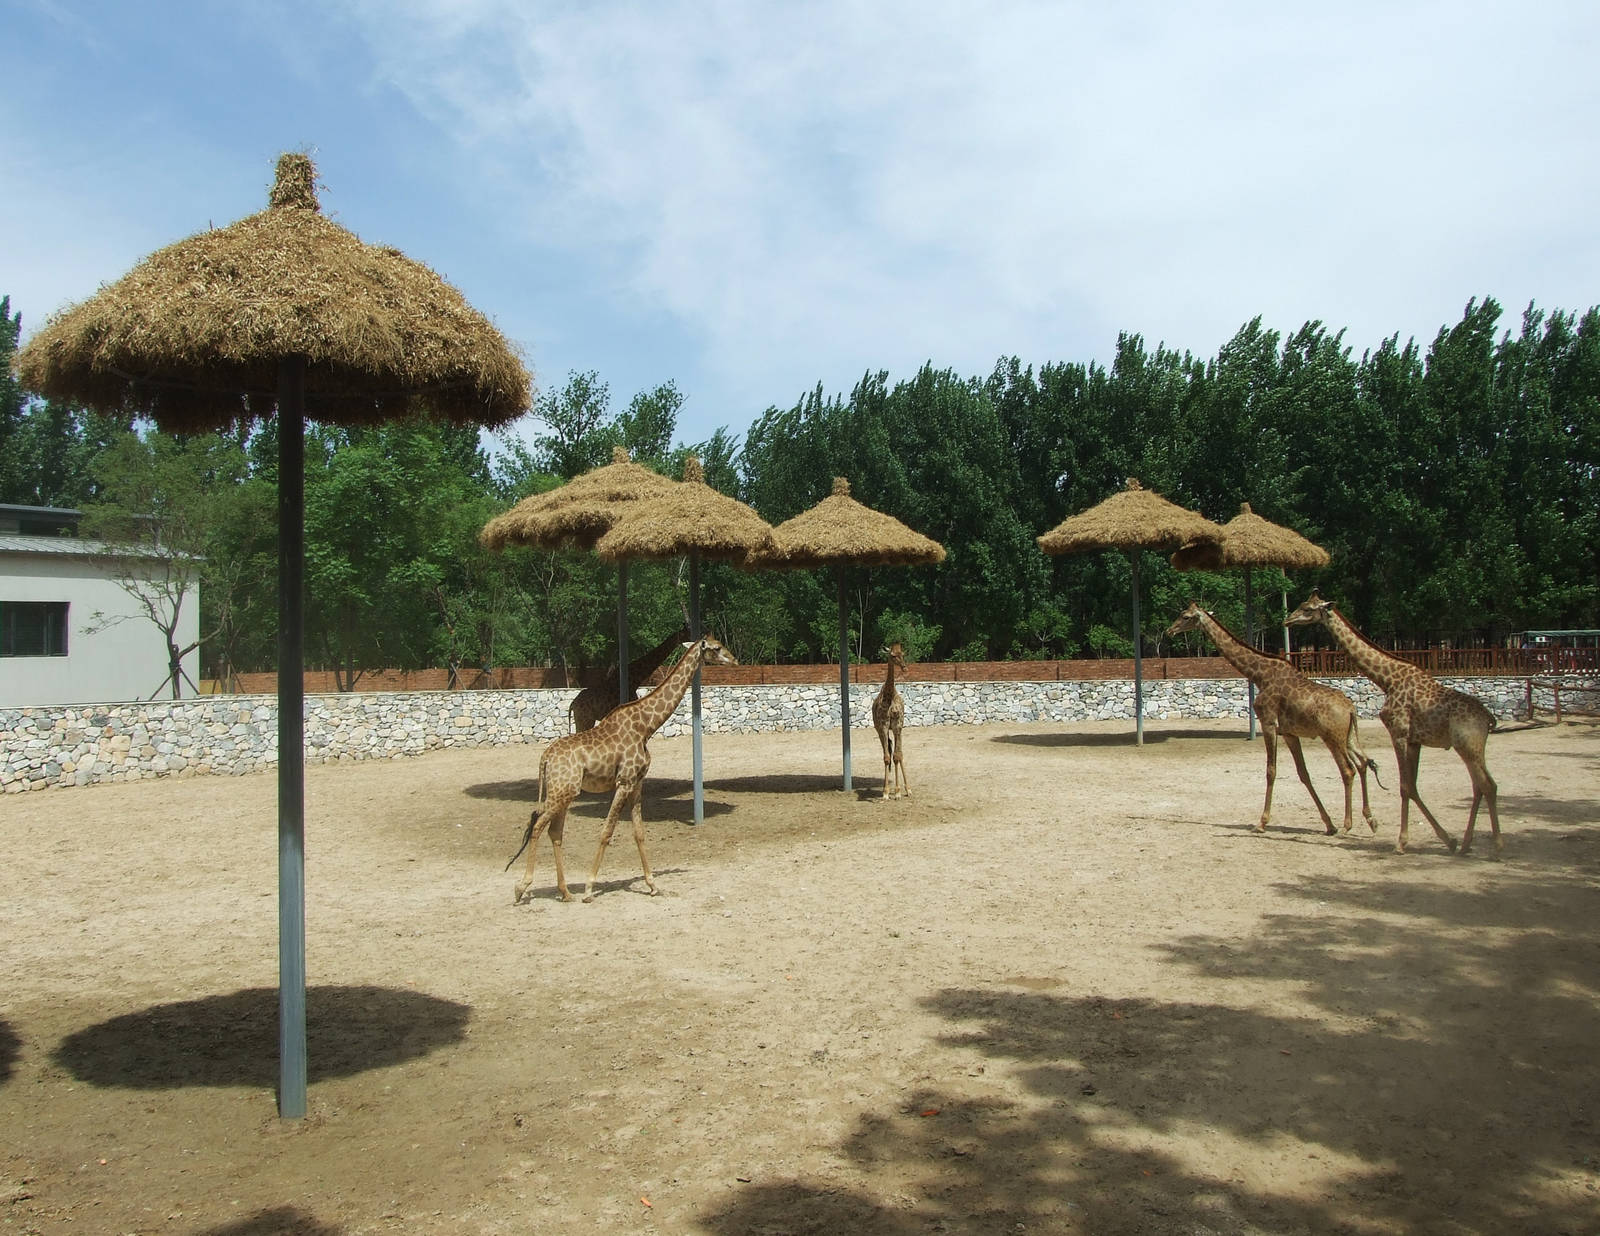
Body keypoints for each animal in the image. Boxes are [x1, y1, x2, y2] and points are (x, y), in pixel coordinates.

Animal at [507, 635, 738, 904]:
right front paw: (589, 888)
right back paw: (522, 888)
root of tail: (544, 758)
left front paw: (652, 885)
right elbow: (606, 831)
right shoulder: (624, 781)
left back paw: (565, 892)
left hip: (563, 793)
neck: (647, 726)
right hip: (561, 792)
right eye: (717, 647)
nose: (734, 660)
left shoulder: (637, 782)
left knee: (554, 831)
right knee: (537, 827)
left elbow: (639, 832)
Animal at [1166, 602, 1380, 836]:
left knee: (1348, 770)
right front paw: (1328, 824)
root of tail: (1350, 709)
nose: (1169, 630)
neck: (1259, 675)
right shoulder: (1289, 733)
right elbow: (1303, 773)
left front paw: (1261, 823)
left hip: (1332, 737)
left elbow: (1271, 770)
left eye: (1185, 616)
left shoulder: (1268, 723)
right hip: (1348, 737)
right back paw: (1370, 821)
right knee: (1363, 763)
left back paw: (1348, 824)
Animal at [1286, 590, 1500, 855]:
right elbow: (1412, 786)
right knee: (1481, 786)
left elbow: (1405, 787)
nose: (1287, 620)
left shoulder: (1398, 733)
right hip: (1472, 748)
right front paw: (1448, 839)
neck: (1386, 680)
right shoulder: (1414, 740)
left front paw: (1401, 843)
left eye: (1307, 609)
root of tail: (1488, 718)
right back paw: (1466, 845)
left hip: (1468, 745)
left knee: (1488, 785)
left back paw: (1497, 847)